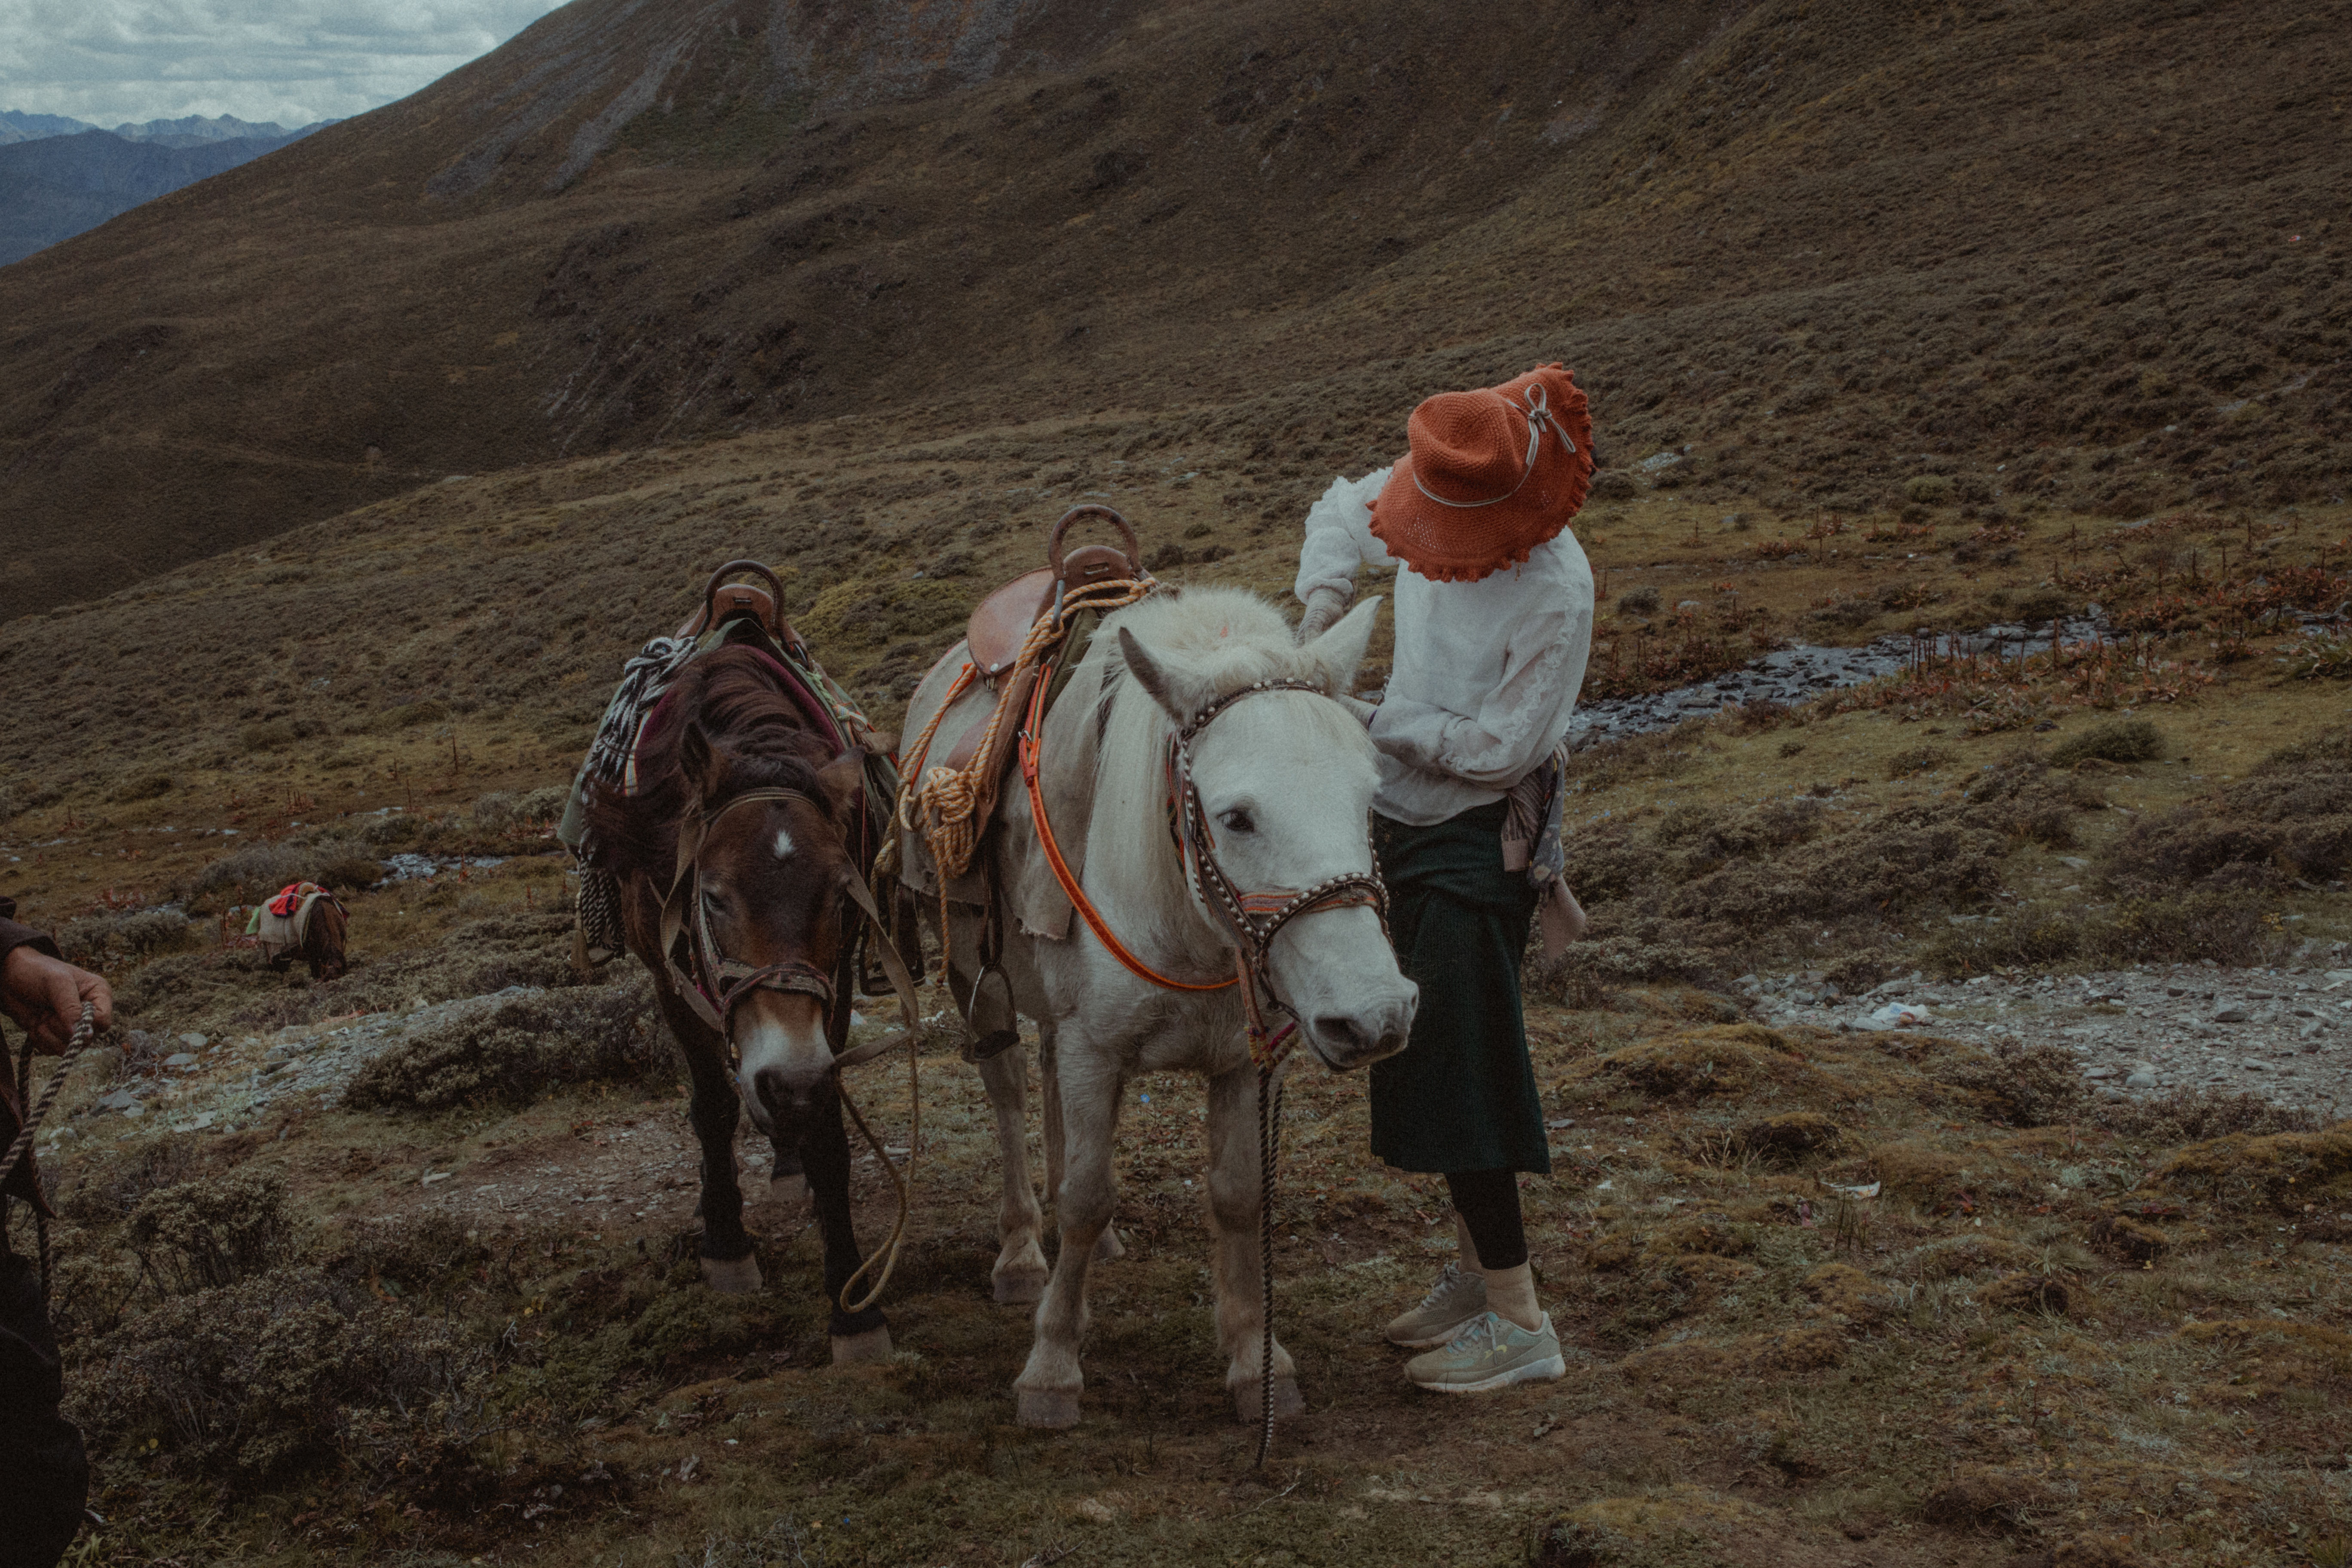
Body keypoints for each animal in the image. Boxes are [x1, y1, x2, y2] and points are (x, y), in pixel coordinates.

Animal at [583, 649, 894, 1363]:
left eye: (841, 896)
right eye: (714, 896)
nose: (788, 1080)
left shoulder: (831, 988)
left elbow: (827, 1132)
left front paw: (853, 1311)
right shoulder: (669, 975)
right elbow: (713, 1107)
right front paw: (726, 1245)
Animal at [894, 583, 1411, 1429]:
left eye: (1369, 798)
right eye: (1235, 817)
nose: (1375, 1017)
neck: (1186, 919)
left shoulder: (1241, 1063)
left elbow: (1237, 1197)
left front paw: (1255, 1360)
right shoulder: (1095, 1048)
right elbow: (1084, 1197)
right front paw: (1051, 1369)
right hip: (983, 984)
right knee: (1009, 1096)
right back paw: (1020, 1252)